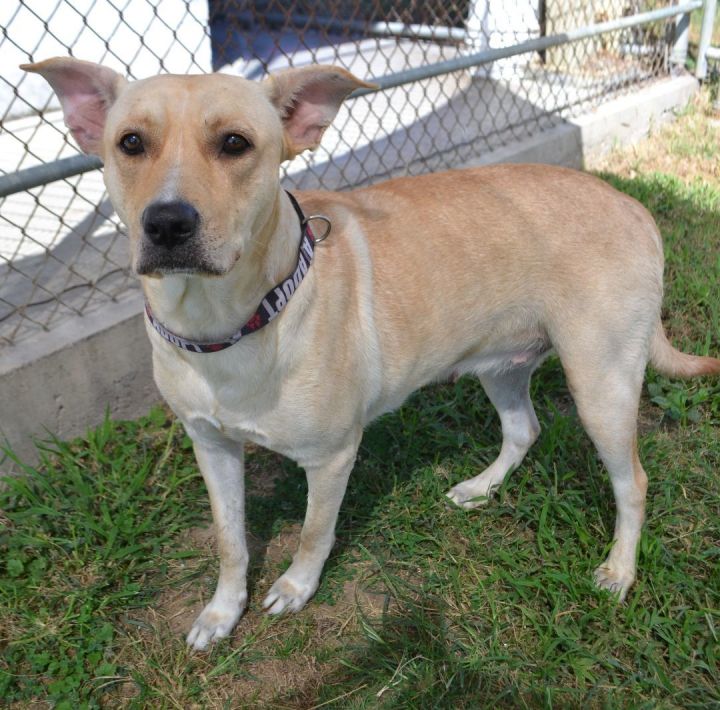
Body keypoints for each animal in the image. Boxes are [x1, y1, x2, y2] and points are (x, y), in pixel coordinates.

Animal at [23, 58, 720, 652]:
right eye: (130, 143)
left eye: (236, 144)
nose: (167, 222)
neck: (230, 324)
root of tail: (634, 206)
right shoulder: (211, 446)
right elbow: (229, 541)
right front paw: (222, 612)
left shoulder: (331, 456)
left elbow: (313, 531)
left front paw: (294, 589)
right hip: (503, 364)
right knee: (525, 428)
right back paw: (481, 487)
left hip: (600, 385)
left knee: (633, 482)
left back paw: (619, 570)